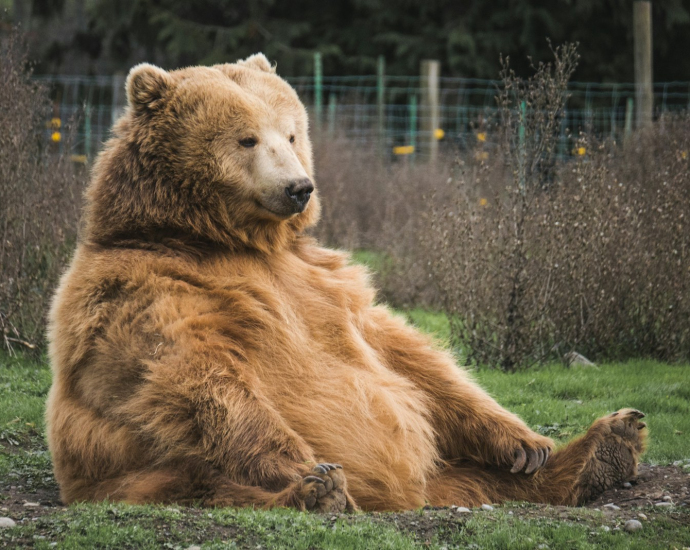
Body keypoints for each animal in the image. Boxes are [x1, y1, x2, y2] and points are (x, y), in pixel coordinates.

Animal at [45, 54, 644, 516]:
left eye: (291, 132)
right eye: (246, 139)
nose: (298, 187)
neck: (224, 239)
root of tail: (409, 496)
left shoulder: (324, 282)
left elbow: (407, 354)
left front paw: (525, 442)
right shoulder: (147, 289)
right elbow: (197, 377)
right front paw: (309, 469)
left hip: (448, 469)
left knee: (482, 476)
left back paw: (605, 447)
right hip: (136, 472)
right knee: (208, 483)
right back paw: (318, 492)